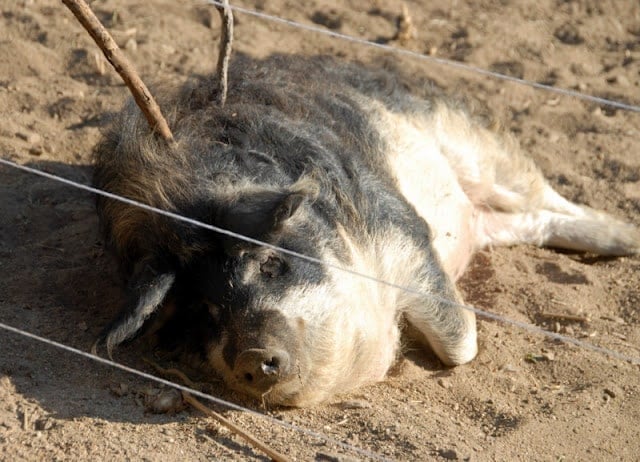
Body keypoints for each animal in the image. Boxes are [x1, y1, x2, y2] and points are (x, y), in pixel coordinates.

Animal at [91, 54, 640, 406]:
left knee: (542, 195)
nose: (253, 354)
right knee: (523, 220)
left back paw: (626, 238)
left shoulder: (400, 229)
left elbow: (460, 344)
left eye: (271, 263)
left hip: (469, 141)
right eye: (202, 310)